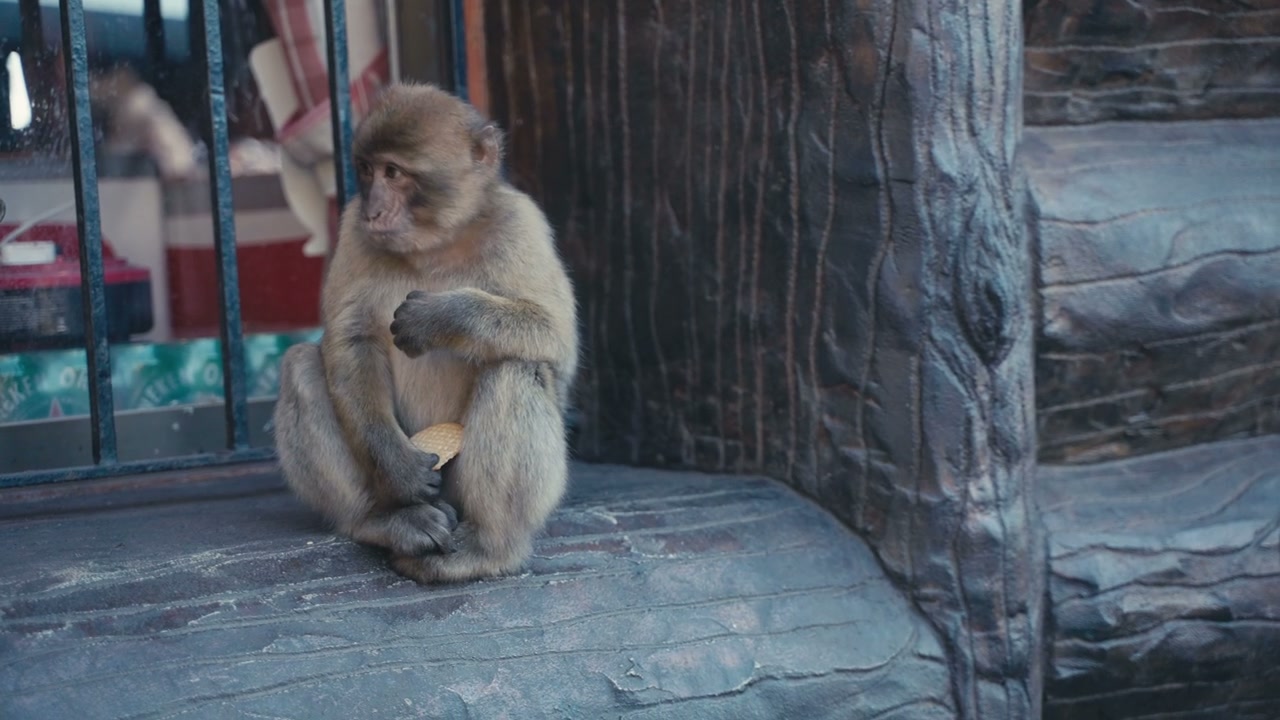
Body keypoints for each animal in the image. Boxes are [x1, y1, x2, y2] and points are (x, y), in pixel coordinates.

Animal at [272, 82, 579, 584]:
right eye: (367, 170)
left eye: (394, 172)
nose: (374, 209)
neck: (438, 242)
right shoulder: (352, 228)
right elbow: (352, 343)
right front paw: (398, 469)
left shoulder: (521, 221)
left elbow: (555, 337)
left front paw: (445, 317)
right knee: (302, 365)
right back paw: (382, 520)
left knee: (514, 366)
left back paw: (489, 547)